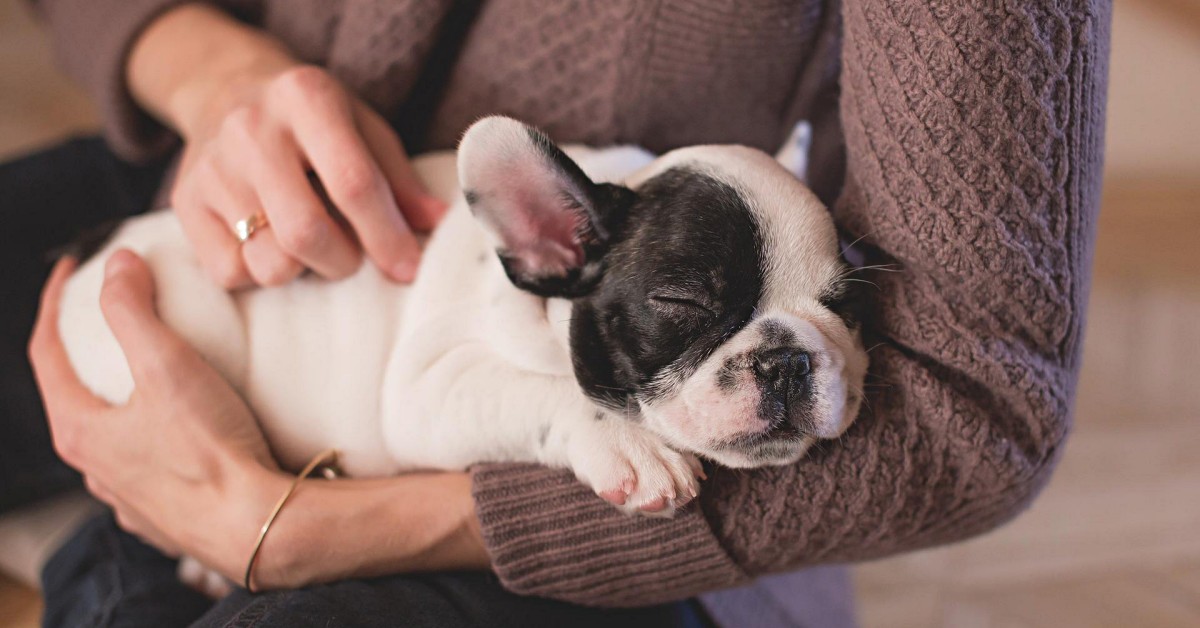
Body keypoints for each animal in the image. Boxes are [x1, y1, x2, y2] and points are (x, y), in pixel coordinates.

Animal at [58, 116, 864, 585]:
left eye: (844, 305)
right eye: (684, 303)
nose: (788, 359)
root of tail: (93, 248)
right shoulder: (427, 389)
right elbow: (542, 391)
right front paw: (630, 446)